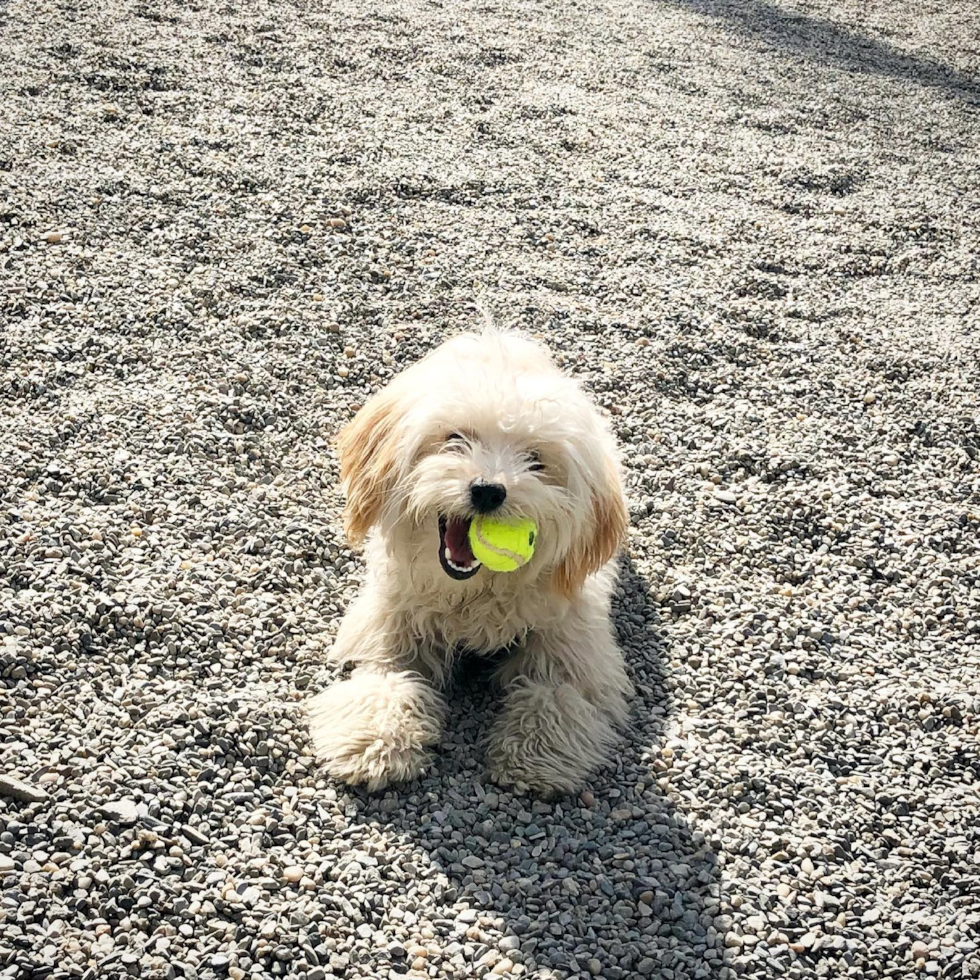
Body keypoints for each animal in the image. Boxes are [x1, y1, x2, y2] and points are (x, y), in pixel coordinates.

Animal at [308, 330, 636, 796]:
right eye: (454, 438)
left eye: (536, 460)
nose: (488, 490)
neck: (471, 593)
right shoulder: (390, 624)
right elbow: (383, 680)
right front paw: (374, 743)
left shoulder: (573, 639)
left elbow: (557, 693)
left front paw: (533, 757)